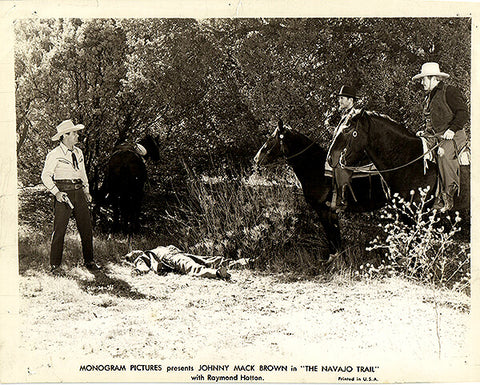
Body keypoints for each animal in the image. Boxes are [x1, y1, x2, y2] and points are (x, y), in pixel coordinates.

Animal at [255, 119, 386, 255]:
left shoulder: (323, 211)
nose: (256, 158)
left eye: (270, 138)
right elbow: (336, 240)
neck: (317, 169)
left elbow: (332, 240)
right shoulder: (332, 213)